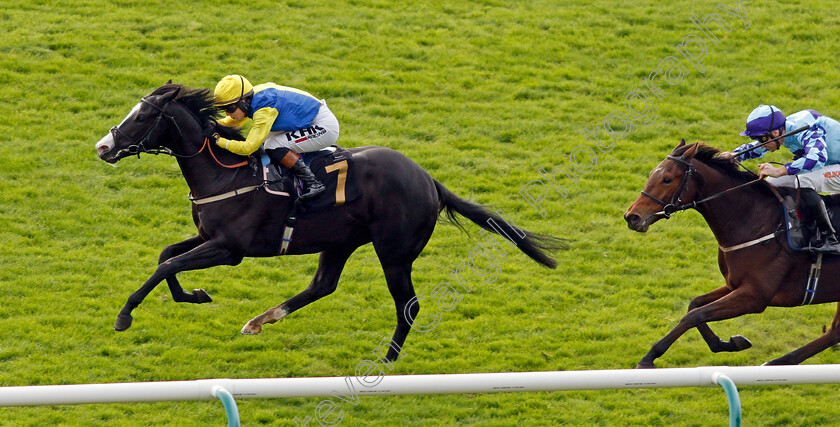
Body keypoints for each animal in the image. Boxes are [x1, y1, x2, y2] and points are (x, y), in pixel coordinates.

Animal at [93, 83, 564, 362]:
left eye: (142, 116)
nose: (102, 147)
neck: (222, 172)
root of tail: (427, 179)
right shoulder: (209, 237)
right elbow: (166, 257)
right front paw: (194, 295)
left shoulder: (231, 249)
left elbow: (168, 265)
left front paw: (124, 316)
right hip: (340, 241)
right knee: (323, 285)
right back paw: (260, 320)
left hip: (394, 253)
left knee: (408, 305)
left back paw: (387, 359)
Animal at [624, 140, 840, 368]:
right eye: (651, 174)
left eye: (667, 179)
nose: (632, 217)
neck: (757, 222)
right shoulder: (734, 284)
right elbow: (695, 305)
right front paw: (730, 343)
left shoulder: (754, 296)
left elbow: (694, 315)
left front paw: (649, 357)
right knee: (834, 332)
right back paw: (777, 362)